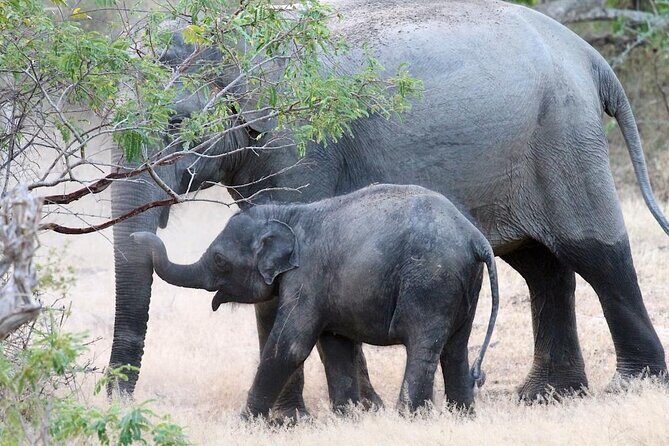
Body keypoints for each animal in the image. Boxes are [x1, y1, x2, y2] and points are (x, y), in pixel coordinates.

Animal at [131, 184, 500, 415]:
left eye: (220, 260)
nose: (138, 235)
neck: (289, 213)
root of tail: (476, 238)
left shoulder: (307, 277)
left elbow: (290, 347)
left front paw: (244, 423)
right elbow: (335, 346)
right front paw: (347, 419)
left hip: (430, 281)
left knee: (423, 347)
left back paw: (411, 420)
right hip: (462, 284)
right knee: (455, 350)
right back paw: (462, 418)